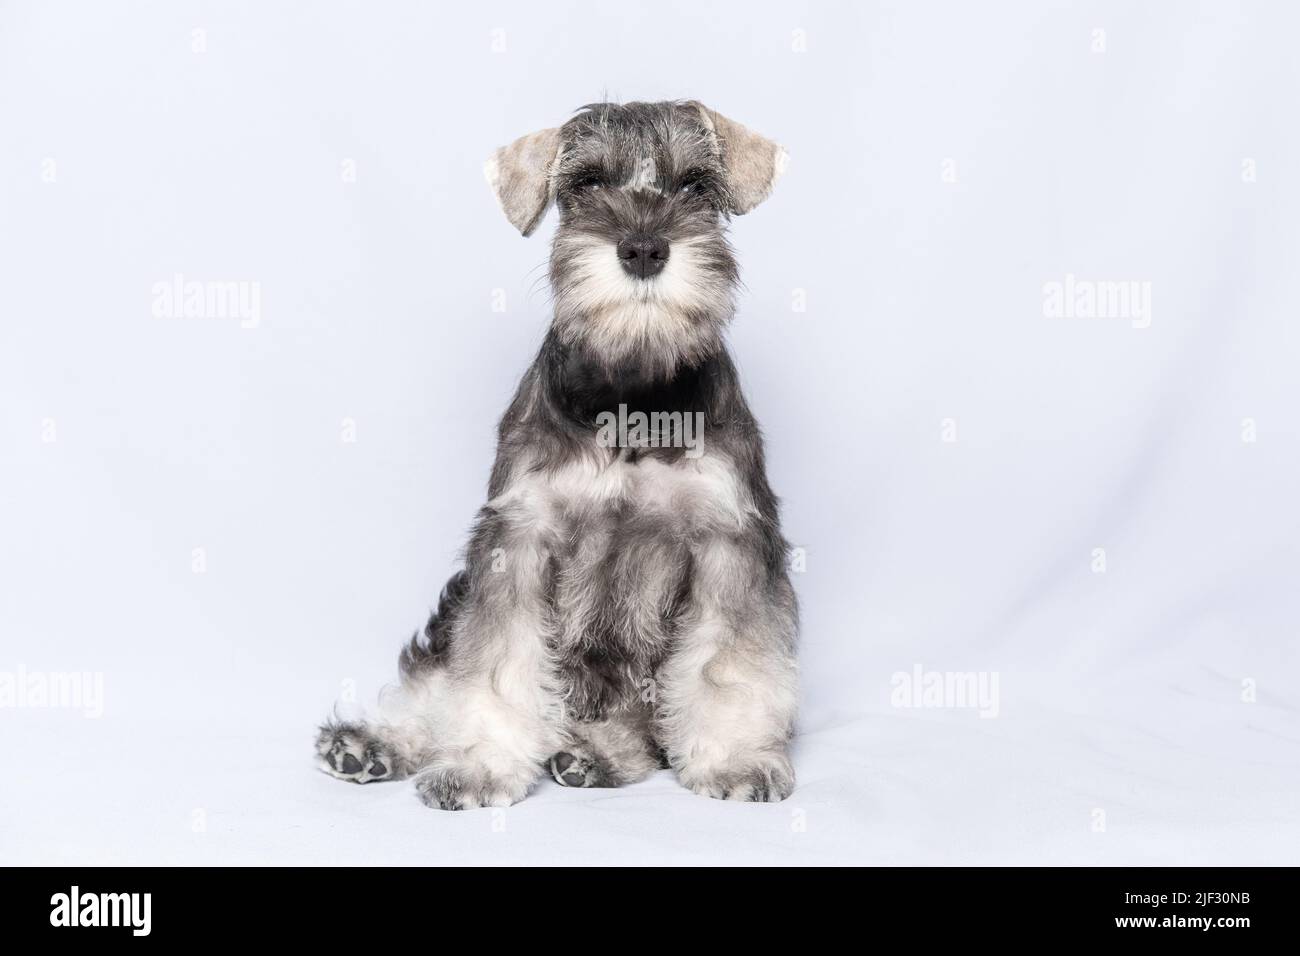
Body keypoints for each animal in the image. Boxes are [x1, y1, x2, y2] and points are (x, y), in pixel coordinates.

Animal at [317, 102, 800, 806]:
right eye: (587, 184)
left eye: (695, 187)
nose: (643, 248)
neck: (631, 398)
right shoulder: (519, 537)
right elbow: (493, 666)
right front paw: (481, 764)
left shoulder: (728, 541)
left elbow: (727, 663)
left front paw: (735, 758)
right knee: (433, 682)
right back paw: (373, 743)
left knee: (638, 723)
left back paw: (596, 754)